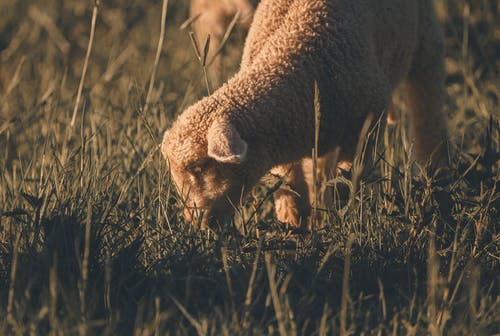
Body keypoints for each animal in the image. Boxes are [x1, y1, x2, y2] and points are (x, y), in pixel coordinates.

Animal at [163, 0, 450, 228]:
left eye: (200, 167)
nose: (195, 221)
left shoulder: (370, 110)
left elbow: (349, 172)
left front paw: (336, 208)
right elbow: (290, 180)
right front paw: (295, 219)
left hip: (425, 38)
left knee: (427, 104)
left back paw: (435, 177)